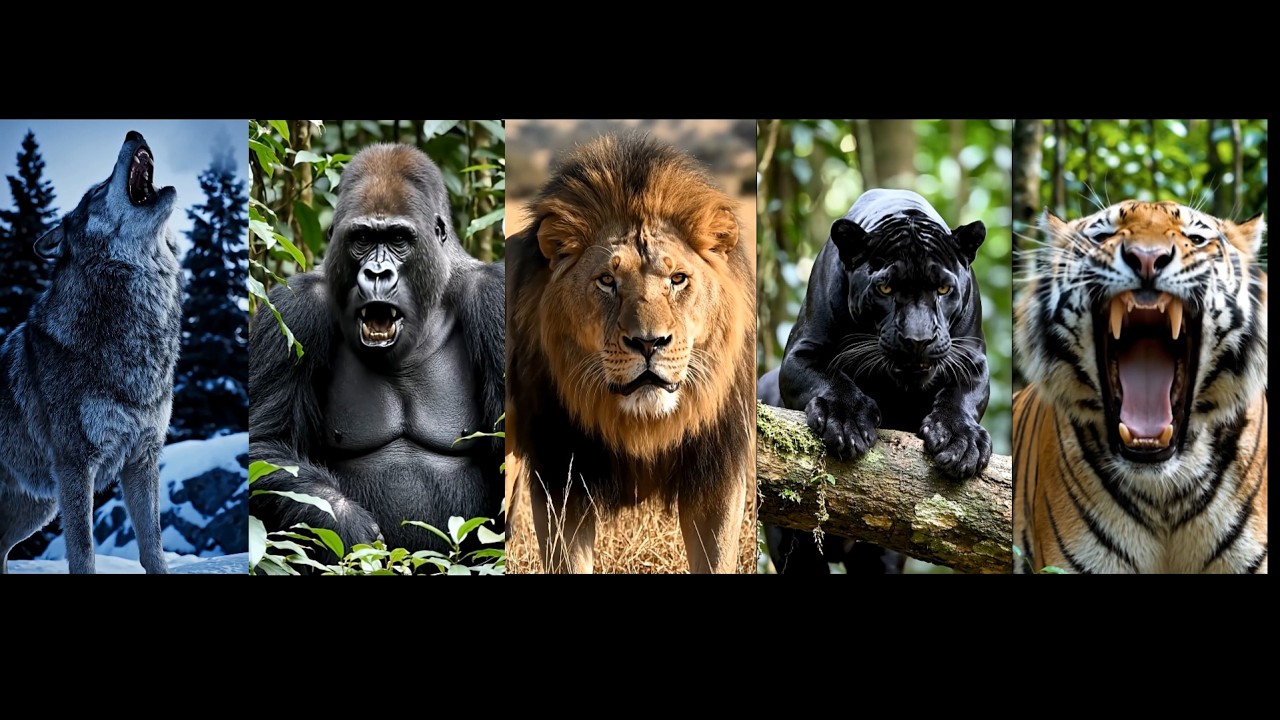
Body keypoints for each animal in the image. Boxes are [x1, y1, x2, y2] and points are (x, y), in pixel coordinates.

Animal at [0, 131, 183, 574]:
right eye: (97, 190)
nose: (133, 133)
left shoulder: (142, 460)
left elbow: (153, 546)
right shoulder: (75, 465)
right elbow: (83, 552)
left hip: (37, 507)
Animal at [505, 132, 756, 573]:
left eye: (678, 279)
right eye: (607, 280)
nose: (649, 343)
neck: (642, 427)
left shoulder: (718, 476)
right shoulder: (561, 478)